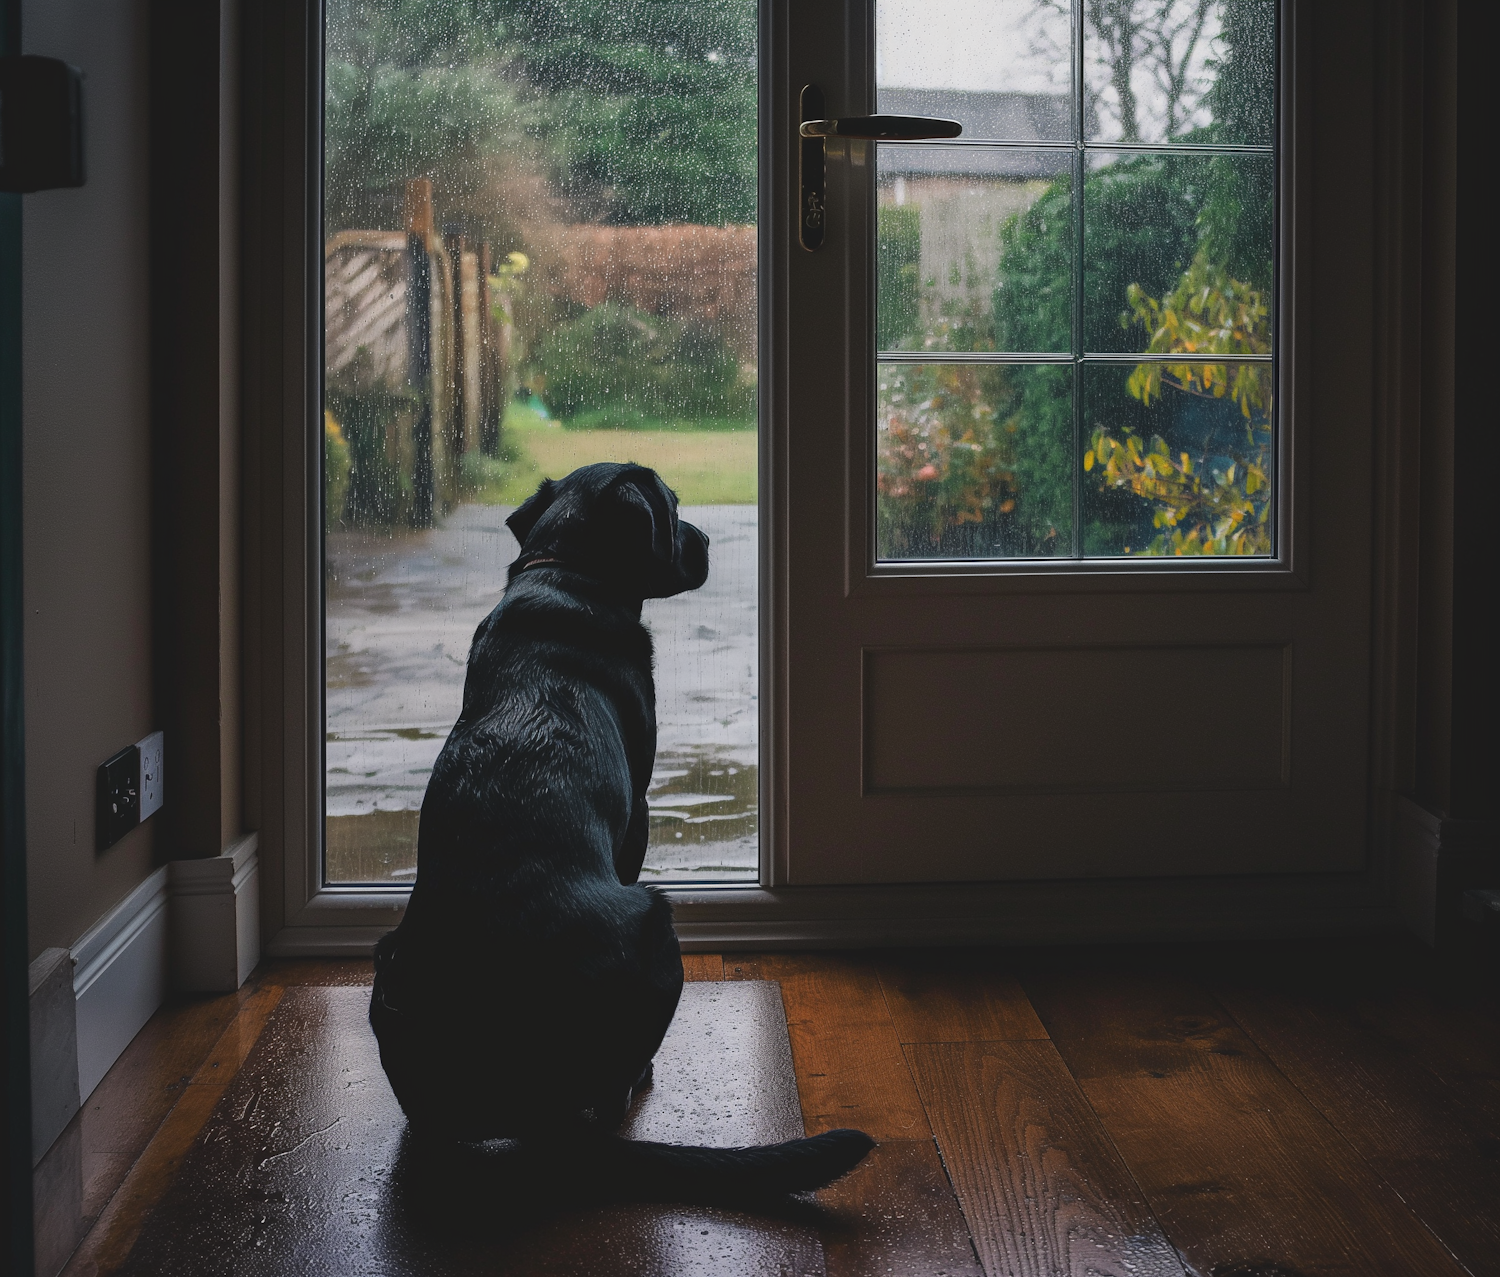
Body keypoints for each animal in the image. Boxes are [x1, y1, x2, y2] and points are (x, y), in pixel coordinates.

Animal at [367, 465, 876, 1206]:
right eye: (672, 507)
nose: (708, 539)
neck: (570, 574)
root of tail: (524, 1106)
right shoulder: (637, 808)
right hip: (656, 922)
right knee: (610, 1094)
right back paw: (638, 1078)